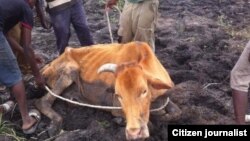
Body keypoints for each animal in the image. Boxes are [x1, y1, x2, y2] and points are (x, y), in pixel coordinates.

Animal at [35, 41, 181, 140]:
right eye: (118, 95)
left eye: (144, 91)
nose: (133, 132)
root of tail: (47, 66)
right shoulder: (116, 108)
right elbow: (151, 124)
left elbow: (175, 113)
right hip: (69, 71)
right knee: (42, 102)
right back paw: (55, 126)